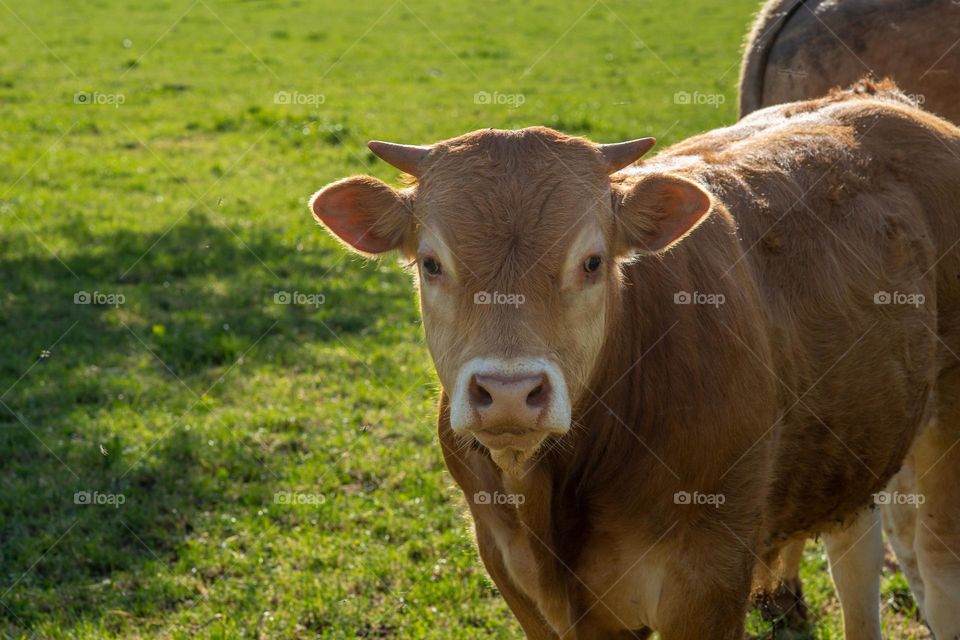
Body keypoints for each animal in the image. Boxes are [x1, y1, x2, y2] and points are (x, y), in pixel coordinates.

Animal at [310, 81, 960, 640]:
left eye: (593, 261)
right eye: (430, 263)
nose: (510, 393)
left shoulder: (709, 580)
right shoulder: (517, 579)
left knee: (938, 564)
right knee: (857, 556)